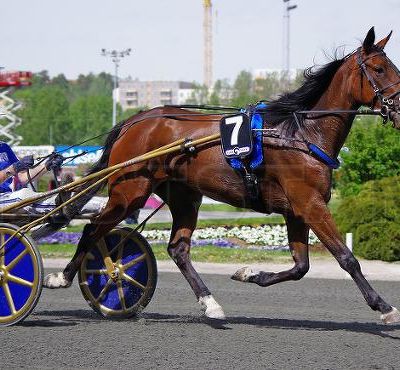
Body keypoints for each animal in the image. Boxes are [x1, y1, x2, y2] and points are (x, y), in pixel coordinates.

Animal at [43, 28, 400, 324]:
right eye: (379, 69)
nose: (399, 107)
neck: (300, 133)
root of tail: (134, 121)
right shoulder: (309, 203)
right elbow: (346, 257)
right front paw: (384, 307)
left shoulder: (297, 209)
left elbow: (301, 267)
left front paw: (248, 274)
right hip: (130, 191)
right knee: (93, 228)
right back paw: (64, 277)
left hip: (184, 195)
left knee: (178, 249)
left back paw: (210, 303)